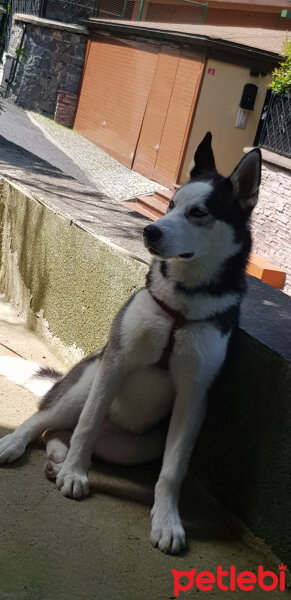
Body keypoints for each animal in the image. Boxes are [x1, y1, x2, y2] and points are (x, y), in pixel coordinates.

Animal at [0, 135, 262, 552]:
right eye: (171, 205)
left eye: (199, 212)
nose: (150, 231)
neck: (183, 300)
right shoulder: (117, 361)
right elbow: (87, 425)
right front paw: (75, 474)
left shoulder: (194, 395)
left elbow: (173, 469)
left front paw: (167, 521)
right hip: (87, 382)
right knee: (48, 419)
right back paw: (22, 446)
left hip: (137, 447)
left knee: (62, 432)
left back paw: (58, 456)